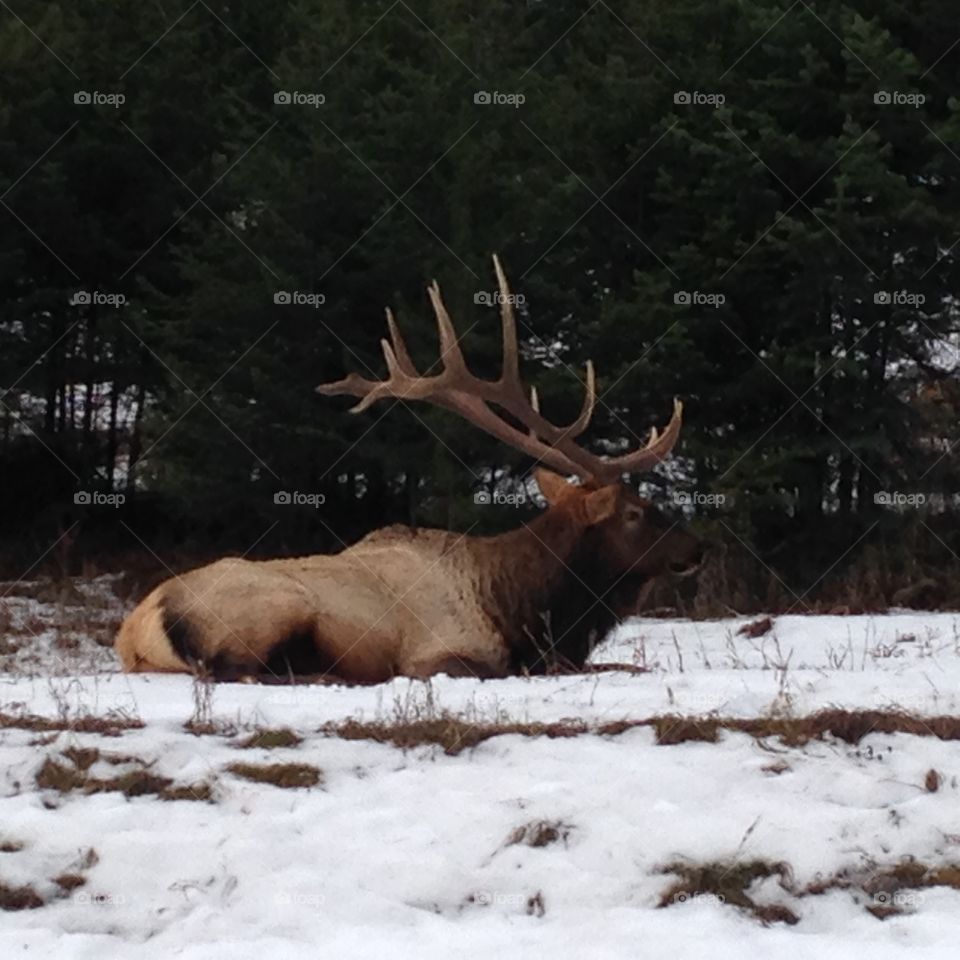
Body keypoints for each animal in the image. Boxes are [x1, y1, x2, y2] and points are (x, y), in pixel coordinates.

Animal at [116, 258, 700, 680]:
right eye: (635, 512)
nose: (696, 550)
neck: (528, 611)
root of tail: (137, 631)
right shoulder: (442, 652)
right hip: (274, 607)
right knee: (232, 670)